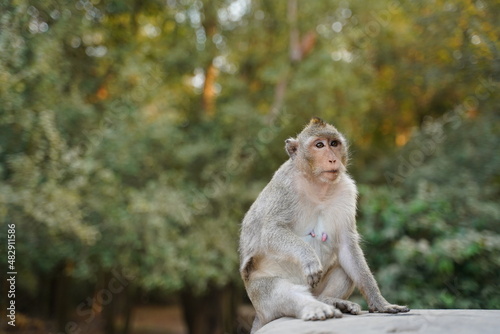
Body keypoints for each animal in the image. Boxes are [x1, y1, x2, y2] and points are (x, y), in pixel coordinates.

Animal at [239, 117, 410, 332]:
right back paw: (315, 308)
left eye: (334, 144)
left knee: (345, 269)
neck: (317, 184)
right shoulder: (284, 186)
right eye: (319, 145)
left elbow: (347, 246)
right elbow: (271, 231)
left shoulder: (347, 190)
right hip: (260, 296)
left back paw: (330, 301)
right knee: (279, 291)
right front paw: (309, 258)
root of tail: (259, 316)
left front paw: (380, 303)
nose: (332, 159)